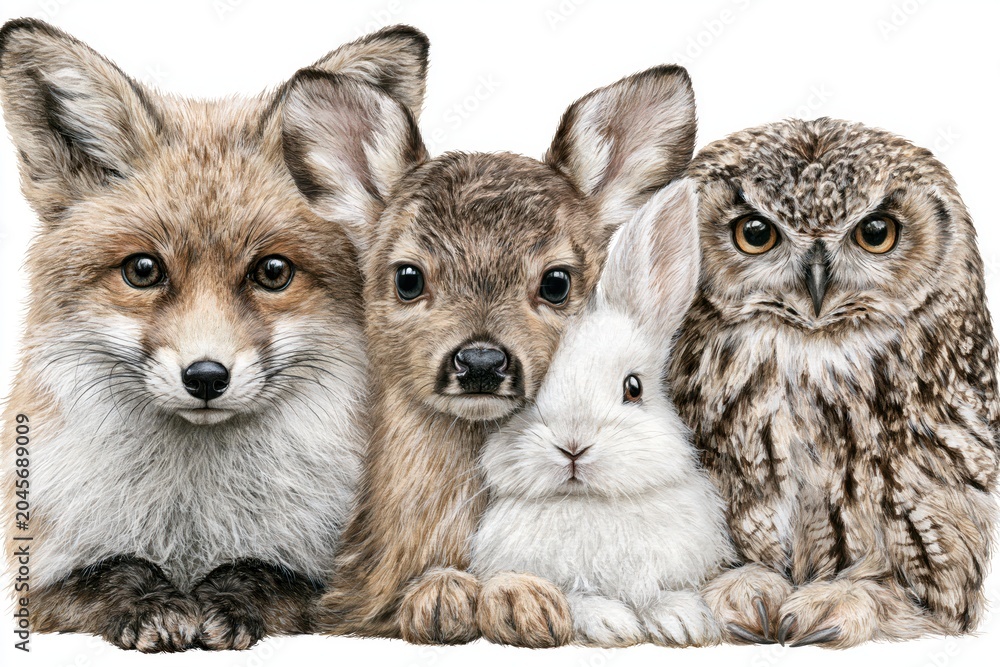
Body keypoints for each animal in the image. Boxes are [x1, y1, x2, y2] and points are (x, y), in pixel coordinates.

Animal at [0, 18, 429, 652]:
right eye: (143, 270)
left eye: (272, 272)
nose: (206, 377)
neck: (193, 519)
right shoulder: (38, 576)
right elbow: (109, 570)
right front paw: (153, 603)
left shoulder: (345, 583)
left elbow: (272, 574)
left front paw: (226, 597)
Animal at [470, 179, 736, 647]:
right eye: (529, 395)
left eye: (634, 387)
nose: (573, 446)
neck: (590, 504)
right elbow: (576, 598)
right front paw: (613, 624)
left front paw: (683, 622)